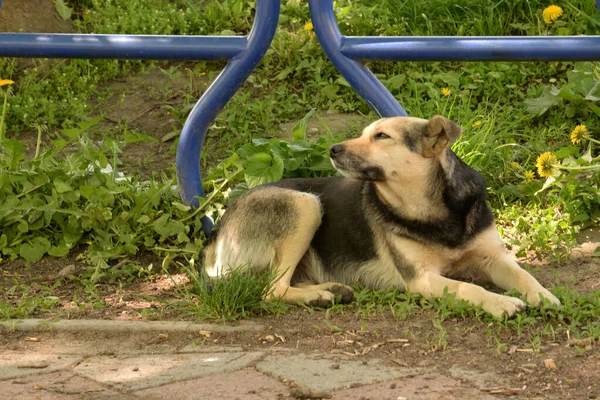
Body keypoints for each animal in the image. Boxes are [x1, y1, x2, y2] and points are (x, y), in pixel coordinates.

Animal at [204, 116, 560, 318]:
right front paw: (500, 303)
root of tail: (215, 237)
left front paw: (544, 296)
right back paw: (320, 296)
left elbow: (524, 276)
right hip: (304, 205)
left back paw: (332, 290)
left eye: (382, 136)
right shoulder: (422, 278)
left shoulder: (493, 258)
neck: (432, 211)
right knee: (271, 290)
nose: (332, 149)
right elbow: (467, 288)